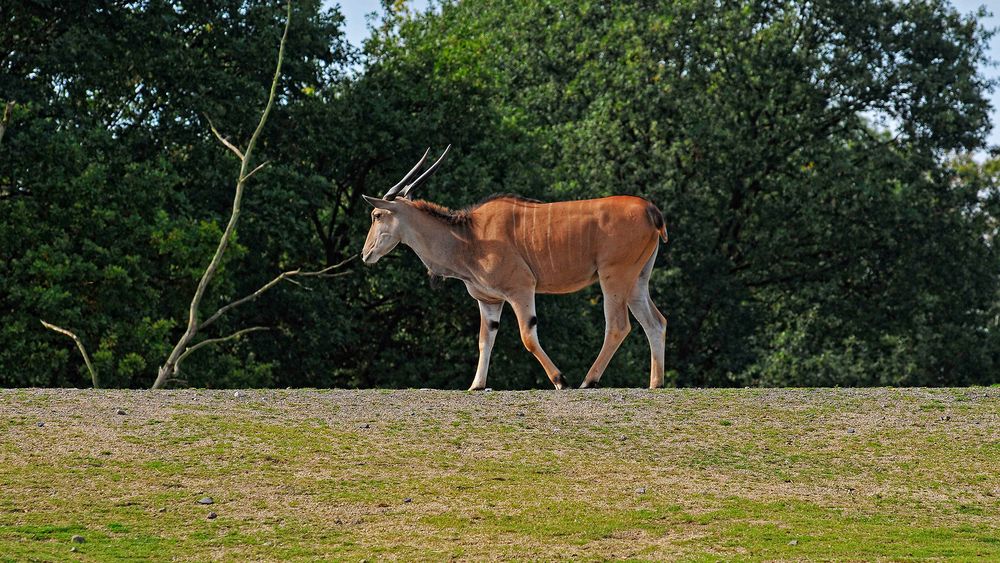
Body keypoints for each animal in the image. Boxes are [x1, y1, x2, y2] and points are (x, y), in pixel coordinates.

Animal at [364, 145, 668, 390]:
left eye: (377, 215)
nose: (366, 254)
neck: (470, 236)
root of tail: (651, 210)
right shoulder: (489, 300)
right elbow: (485, 339)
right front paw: (476, 385)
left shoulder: (521, 289)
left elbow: (527, 336)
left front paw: (560, 380)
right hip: (637, 281)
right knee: (656, 322)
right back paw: (656, 383)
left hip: (614, 277)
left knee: (618, 325)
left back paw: (588, 381)